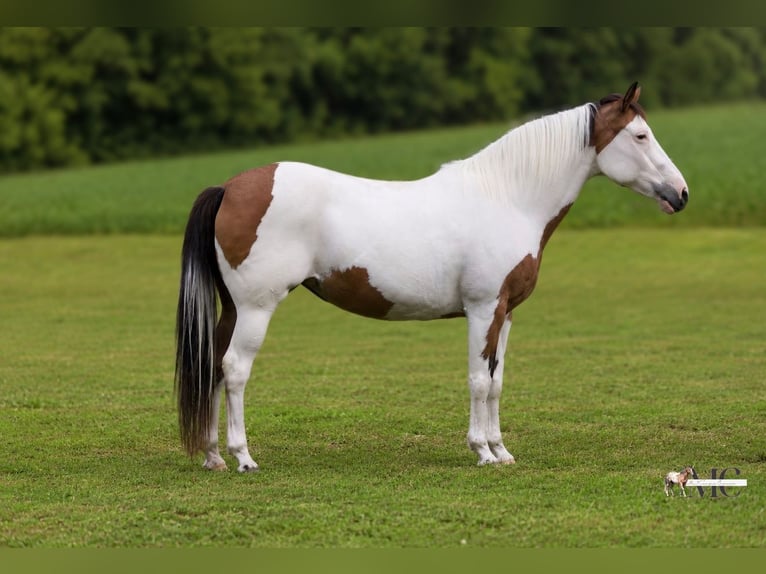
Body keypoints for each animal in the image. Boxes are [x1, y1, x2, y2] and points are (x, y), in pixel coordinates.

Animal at [175, 82, 689, 472]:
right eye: (640, 135)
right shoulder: (482, 310)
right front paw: (482, 452)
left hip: (232, 309)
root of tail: (230, 187)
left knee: (213, 368)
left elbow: (497, 380)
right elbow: (478, 379)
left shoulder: (505, 315)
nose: (681, 194)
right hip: (256, 308)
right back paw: (243, 458)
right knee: (235, 370)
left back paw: (214, 457)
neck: (507, 197)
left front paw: (502, 450)